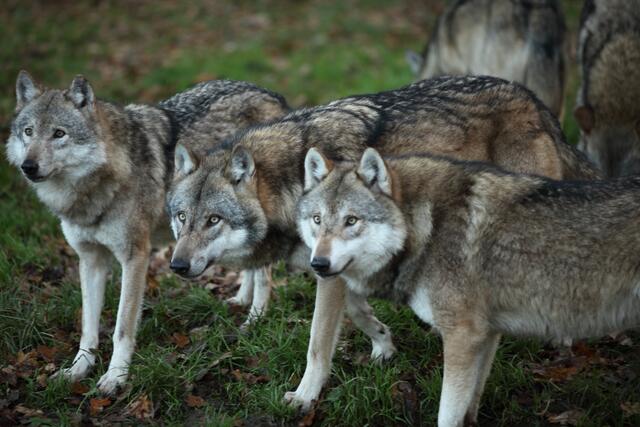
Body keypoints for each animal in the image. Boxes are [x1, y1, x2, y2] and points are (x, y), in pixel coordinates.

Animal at [5, 71, 288, 394]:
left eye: (59, 133)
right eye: (28, 132)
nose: (29, 166)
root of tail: (272, 93)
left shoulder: (135, 258)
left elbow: (122, 327)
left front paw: (115, 377)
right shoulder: (90, 260)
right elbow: (88, 328)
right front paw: (78, 369)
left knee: (264, 276)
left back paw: (254, 321)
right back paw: (240, 300)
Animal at [165, 75, 600, 408]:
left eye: (213, 220)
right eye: (182, 218)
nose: (177, 266)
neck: (290, 181)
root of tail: (534, 100)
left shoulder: (329, 271)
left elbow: (317, 342)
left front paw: (305, 397)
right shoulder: (337, 267)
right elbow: (358, 312)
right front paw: (383, 345)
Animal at [298, 147, 640, 426]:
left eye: (351, 221)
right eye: (317, 219)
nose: (318, 264)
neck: (426, 228)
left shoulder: (462, 336)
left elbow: (446, 414)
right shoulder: (485, 335)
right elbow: (469, 406)